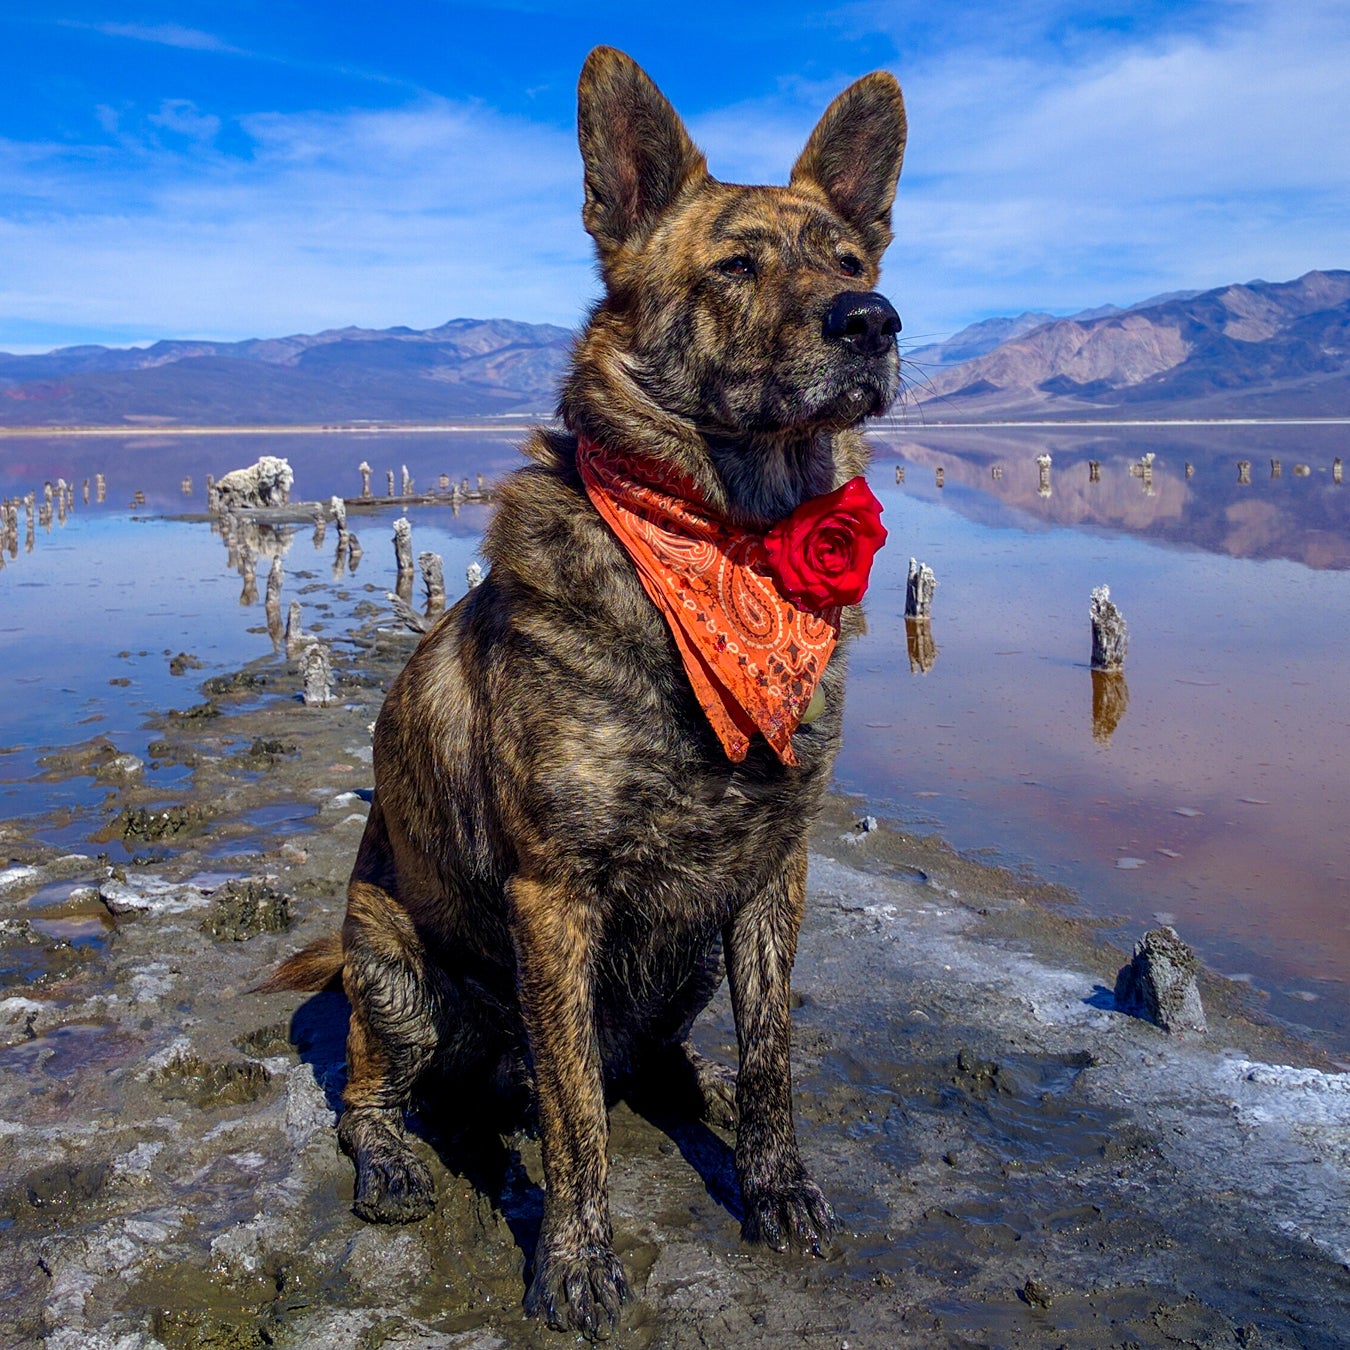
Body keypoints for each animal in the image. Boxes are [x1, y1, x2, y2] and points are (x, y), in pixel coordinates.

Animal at [267, 44, 907, 1339]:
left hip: (680, 960)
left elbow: (773, 1052)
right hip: (393, 963)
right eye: (734, 267)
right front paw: (573, 1261)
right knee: (376, 1093)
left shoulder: (776, 868)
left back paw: (686, 1080)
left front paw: (776, 1185)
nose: (871, 323)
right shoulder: (553, 896)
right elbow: (571, 1121)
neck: (732, 545)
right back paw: (397, 1159)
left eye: (851, 262)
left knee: (640, 1062)